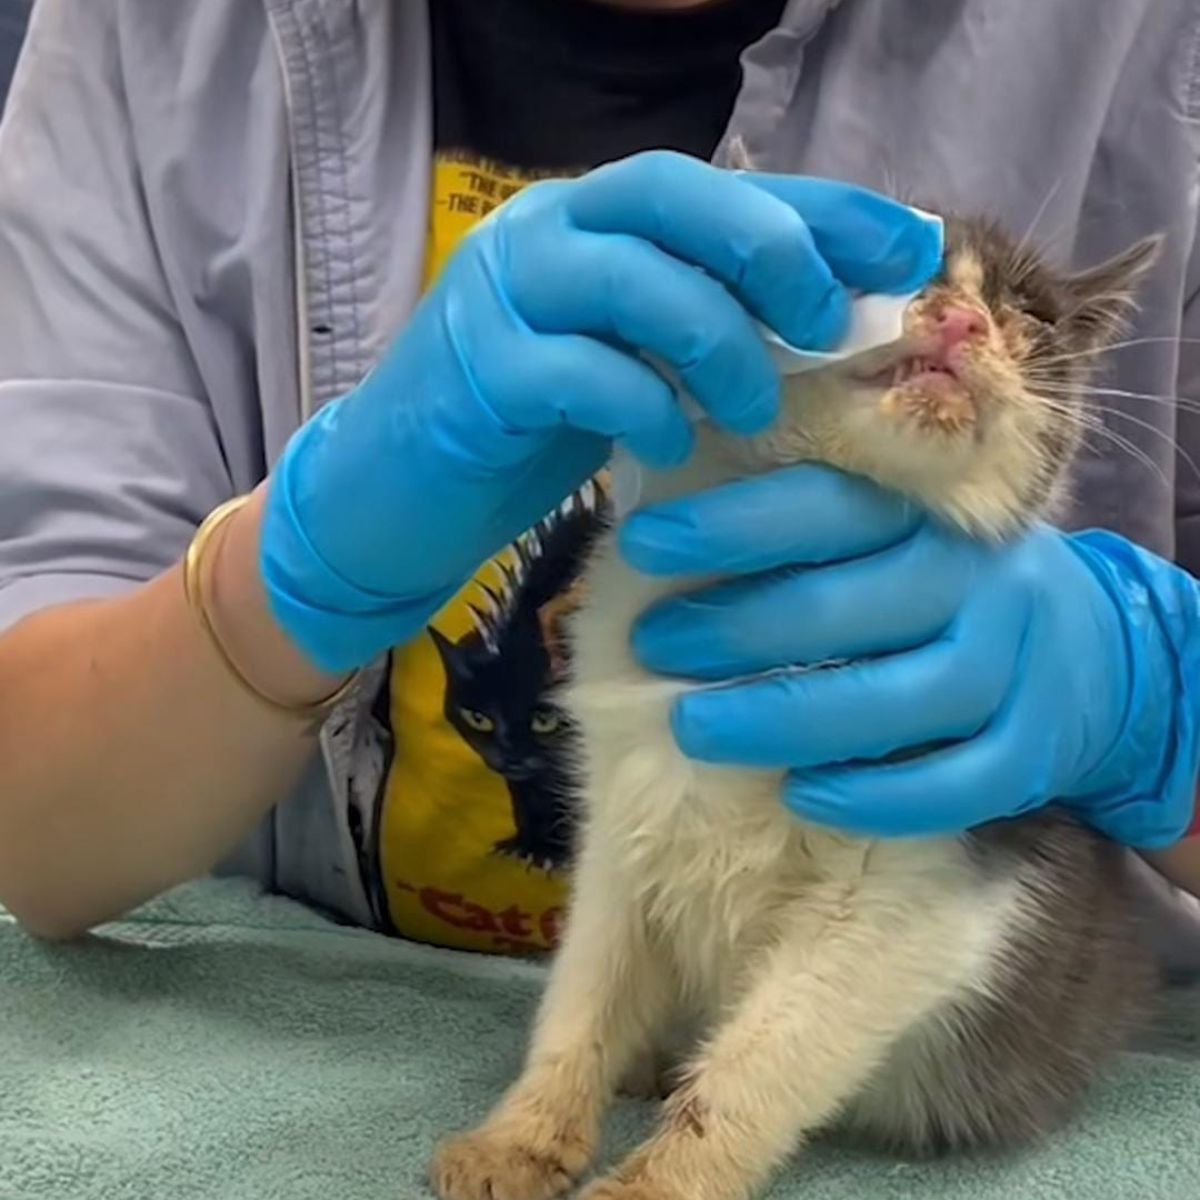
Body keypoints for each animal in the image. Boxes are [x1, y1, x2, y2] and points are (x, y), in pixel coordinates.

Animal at [429, 216, 1161, 1200]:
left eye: (1031, 314)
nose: (963, 321)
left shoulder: (926, 887)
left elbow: (761, 1061)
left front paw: (656, 1182)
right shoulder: (623, 814)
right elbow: (586, 992)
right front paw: (522, 1138)